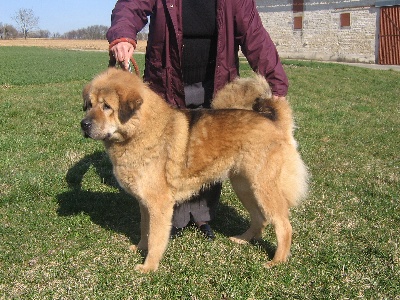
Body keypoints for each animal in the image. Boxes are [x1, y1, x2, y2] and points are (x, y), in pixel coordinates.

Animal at [79, 68, 308, 274]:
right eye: (89, 105)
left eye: (107, 106)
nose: (83, 124)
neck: (141, 130)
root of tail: (275, 122)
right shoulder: (144, 203)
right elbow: (145, 230)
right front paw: (140, 248)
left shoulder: (159, 204)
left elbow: (155, 238)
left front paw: (149, 267)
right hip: (244, 186)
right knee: (260, 218)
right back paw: (242, 239)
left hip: (263, 187)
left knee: (283, 225)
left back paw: (277, 261)